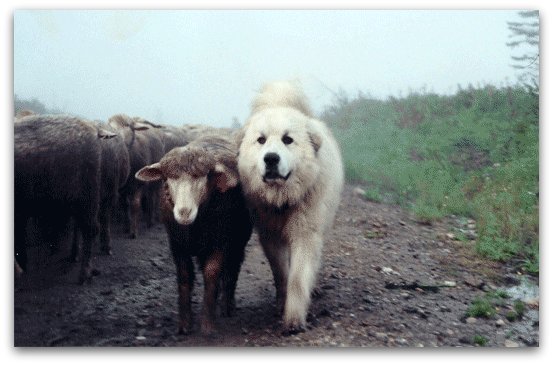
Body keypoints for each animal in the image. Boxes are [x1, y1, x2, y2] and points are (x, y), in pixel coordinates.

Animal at [136, 132, 252, 334]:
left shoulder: (221, 241)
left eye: (201, 177)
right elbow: (184, 277)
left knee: (232, 269)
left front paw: (207, 324)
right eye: (170, 177)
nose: (184, 212)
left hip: (239, 241)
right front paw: (184, 324)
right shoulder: (176, 243)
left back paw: (227, 305)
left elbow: (212, 273)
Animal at [236, 80, 342, 332]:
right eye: (261, 140)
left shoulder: (305, 234)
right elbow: (281, 272)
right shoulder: (270, 236)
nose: (271, 158)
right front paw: (281, 302)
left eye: (287, 139)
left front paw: (294, 318)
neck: (282, 199)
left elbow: (297, 277)